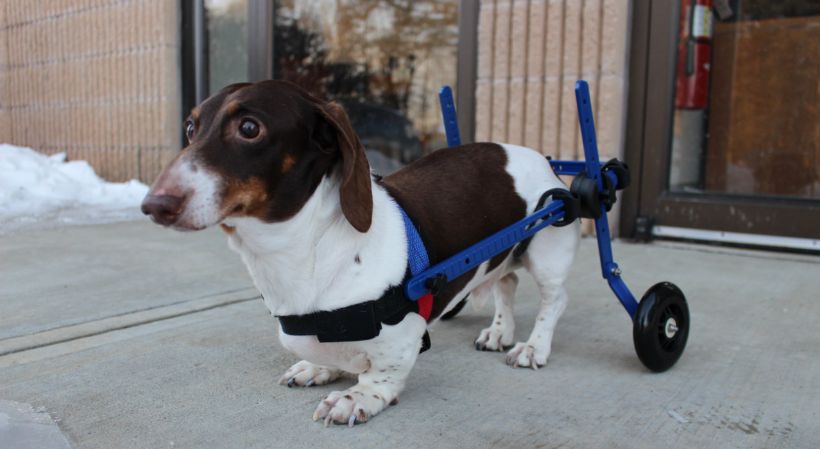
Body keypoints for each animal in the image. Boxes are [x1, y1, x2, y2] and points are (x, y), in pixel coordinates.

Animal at [143, 79, 576, 424]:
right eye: (190, 127)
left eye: (249, 128)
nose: (153, 205)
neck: (308, 247)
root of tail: (536, 155)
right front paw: (318, 369)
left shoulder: (402, 339)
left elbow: (380, 375)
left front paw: (355, 398)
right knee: (507, 281)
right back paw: (499, 332)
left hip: (547, 249)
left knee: (554, 300)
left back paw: (533, 347)